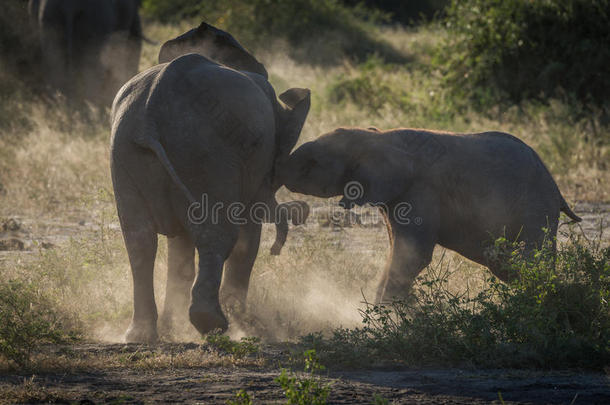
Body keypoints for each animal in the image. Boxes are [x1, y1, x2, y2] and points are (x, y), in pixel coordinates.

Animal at [110, 23, 308, 340]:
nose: (276, 251)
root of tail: (149, 116)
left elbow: (178, 245)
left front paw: (172, 327)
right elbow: (247, 236)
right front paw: (241, 322)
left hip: (128, 151)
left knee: (140, 240)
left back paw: (140, 336)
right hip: (206, 153)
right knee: (218, 233)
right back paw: (212, 324)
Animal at [280, 128, 580, 302]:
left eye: (313, 163)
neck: (378, 137)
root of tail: (557, 189)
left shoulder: (421, 190)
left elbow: (413, 255)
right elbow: (397, 251)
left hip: (535, 207)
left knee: (530, 261)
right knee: (507, 264)